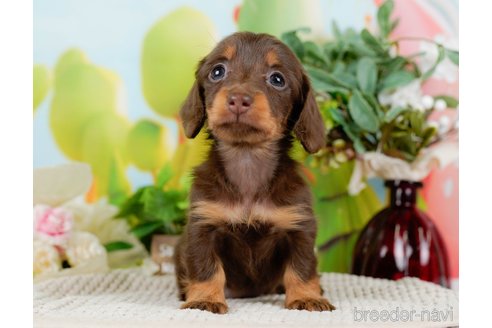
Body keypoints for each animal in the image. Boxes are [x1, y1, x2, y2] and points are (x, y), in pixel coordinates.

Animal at [175, 32, 336, 314]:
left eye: (277, 79)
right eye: (217, 71)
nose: (239, 99)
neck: (247, 161)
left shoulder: (300, 226)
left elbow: (302, 267)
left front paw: (307, 297)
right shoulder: (202, 226)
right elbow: (206, 268)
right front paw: (205, 299)